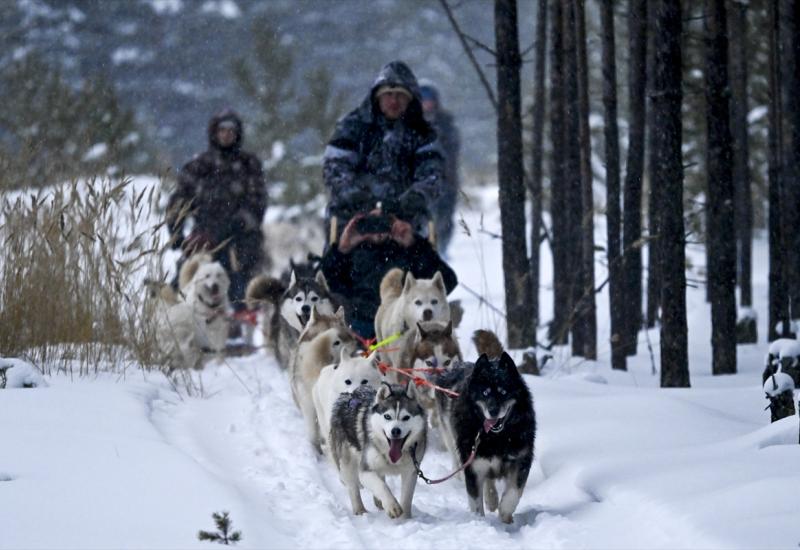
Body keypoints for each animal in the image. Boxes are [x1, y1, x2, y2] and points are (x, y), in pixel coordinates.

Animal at [328, 384, 428, 520]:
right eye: (387, 416)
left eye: (406, 417)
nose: (395, 431)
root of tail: (347, 395)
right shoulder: (365, 470)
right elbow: (381, 486)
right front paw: (392, 506)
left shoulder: (411, 471)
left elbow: (407, 498)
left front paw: (405, 519)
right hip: (348, 462)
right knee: (353, 487)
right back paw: (360, 510)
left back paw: (378, 502)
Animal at [432, 332, 536, 528]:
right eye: (485, 393)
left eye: (503, 392)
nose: (493, 411)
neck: (497, 438)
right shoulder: (473, 466)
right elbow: (476, 502)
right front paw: (479, 521)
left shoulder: (521, 460)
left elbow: (513, 493)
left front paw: (505, 514)